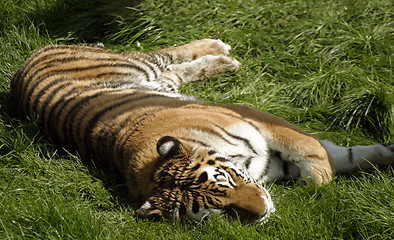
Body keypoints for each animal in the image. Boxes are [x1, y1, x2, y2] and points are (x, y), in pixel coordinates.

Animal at [9, 39, 394, 223]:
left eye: (227, 180)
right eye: (219, 210)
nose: (264, 211)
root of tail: (20, 71)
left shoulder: (253, 117)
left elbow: (311, 148)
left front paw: (323, 176)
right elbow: (343, 154)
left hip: (138, 63)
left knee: (165, 53)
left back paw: (219, 49)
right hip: (160, 78)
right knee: (176, 70)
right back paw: (223, 59)